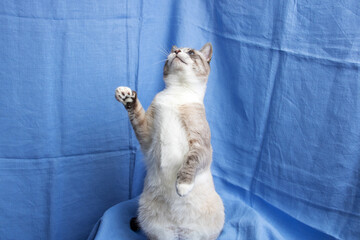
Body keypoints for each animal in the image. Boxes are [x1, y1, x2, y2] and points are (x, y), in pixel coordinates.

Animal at [115, 43, 224, 240]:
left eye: (191, 52)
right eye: (174, 51)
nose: (177, 52)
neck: (177, 93)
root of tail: (179, 230)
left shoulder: (200, 146)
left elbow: (190, 161)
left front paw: (182, 187)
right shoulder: (147, 138)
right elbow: (136, 113)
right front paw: (126, 96)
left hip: (200, 233)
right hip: (159, 230)